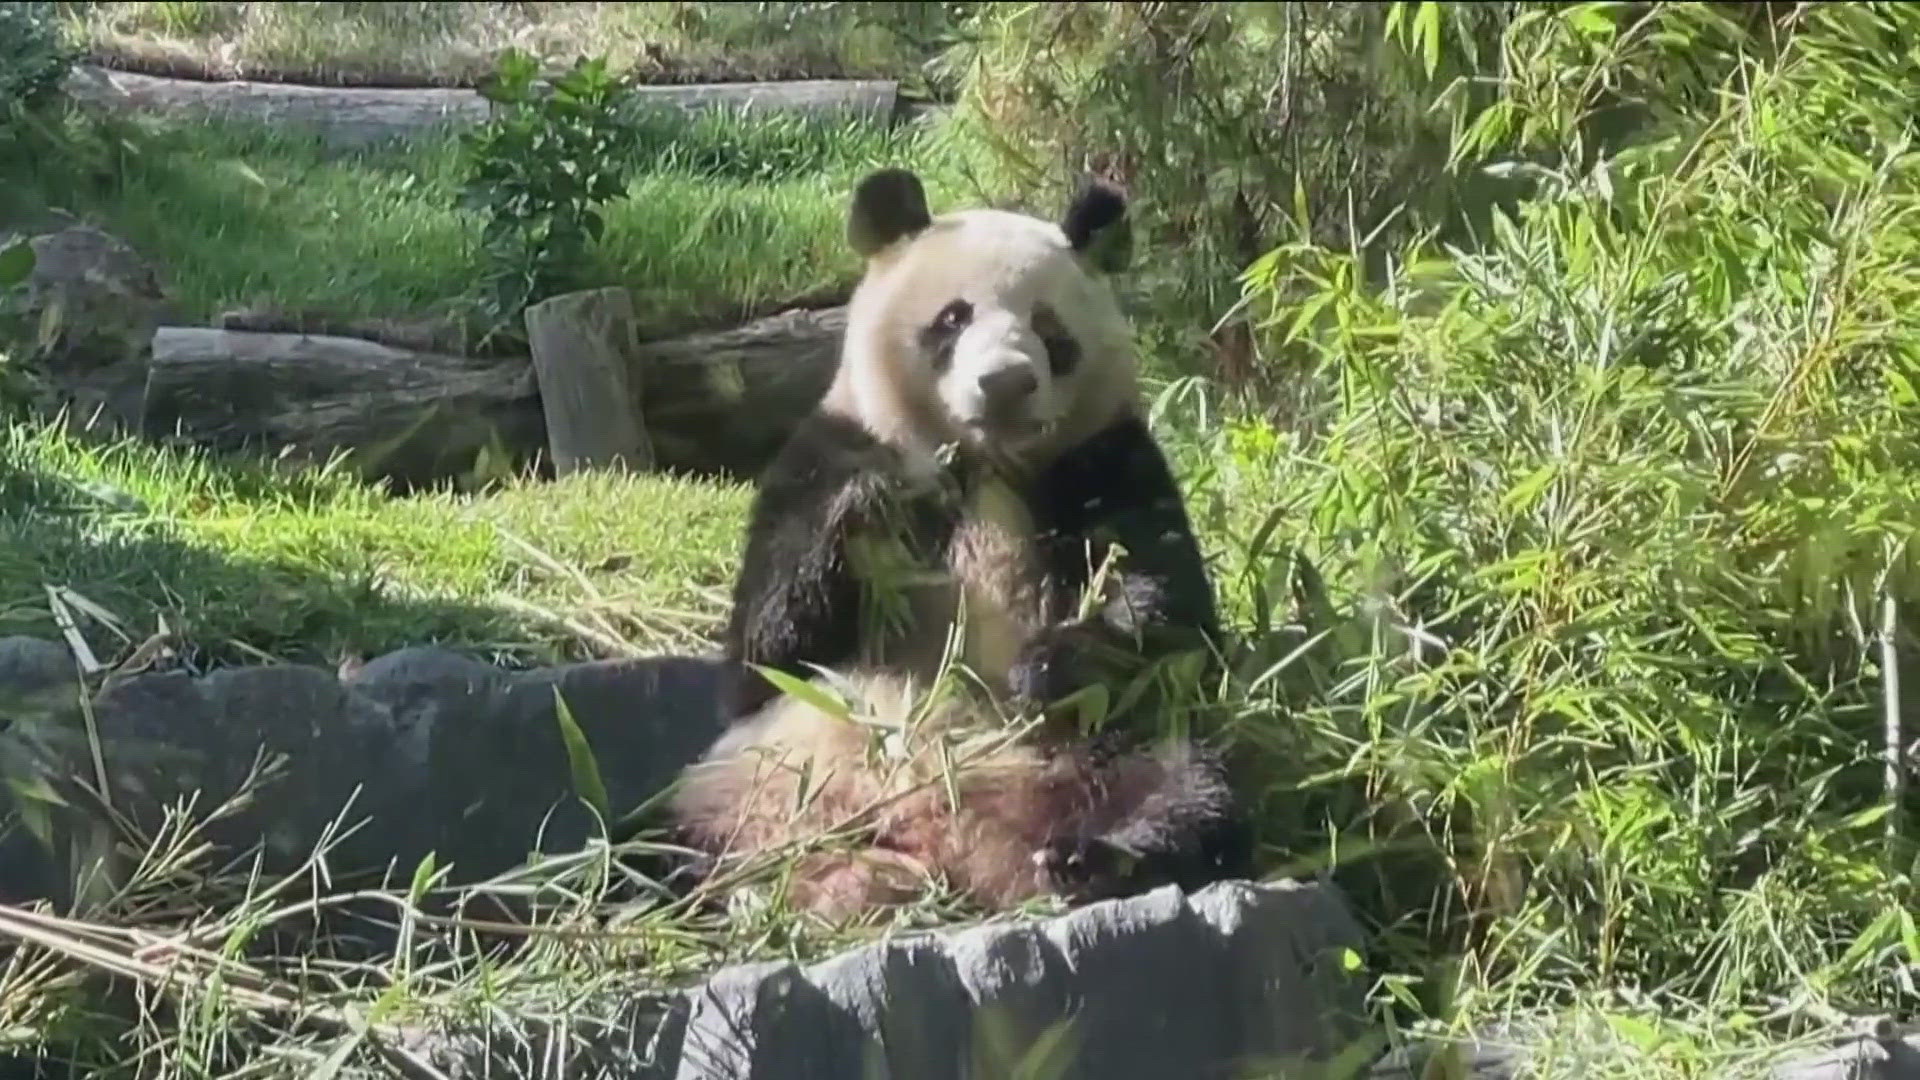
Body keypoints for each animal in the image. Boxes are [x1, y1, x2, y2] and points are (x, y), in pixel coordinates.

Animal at [664, 166, 1259, 914]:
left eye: (1049, 328)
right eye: (953, 318)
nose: (1005, 382)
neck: (983, 462)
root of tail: (946, 839)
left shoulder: (1106, 458)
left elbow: (1168, 613)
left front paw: (1048, 665)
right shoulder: (827, 450)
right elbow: (764, 656)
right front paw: (871, 501)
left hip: (1072, 751)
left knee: (1186, 783)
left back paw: (1094, 858)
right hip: (751, 773)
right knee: (660, 836)